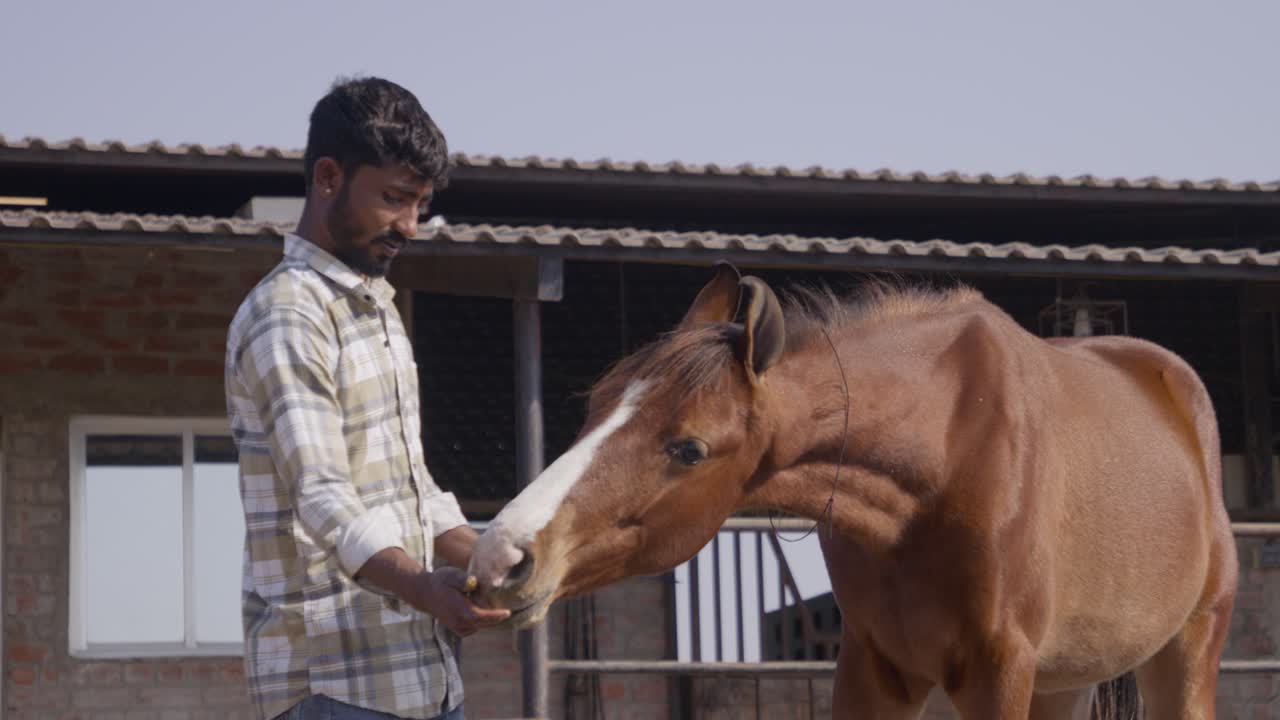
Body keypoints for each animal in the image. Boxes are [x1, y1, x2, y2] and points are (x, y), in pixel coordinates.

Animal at [470, 264, 1238, 719]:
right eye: (595, 406)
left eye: (687, 448)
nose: (501, 557)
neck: (944, 459)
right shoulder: (873, 667)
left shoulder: (998, 672)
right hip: (1064, 683)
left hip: (1187, 652)